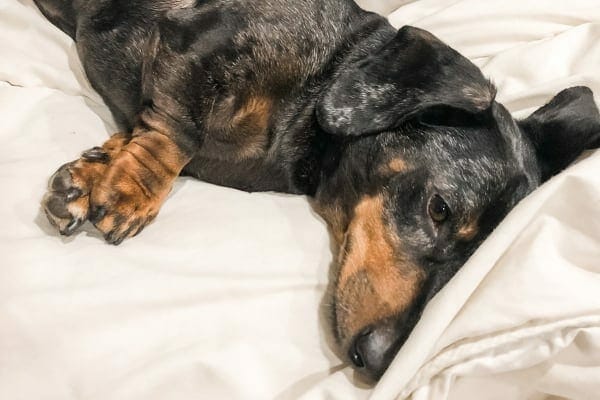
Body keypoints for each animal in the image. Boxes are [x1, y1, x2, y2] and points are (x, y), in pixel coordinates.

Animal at [36, 0, 600, 382]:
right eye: (439, 209)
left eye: (474, 263)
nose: (379, 363)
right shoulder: (199, 43)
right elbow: (179, 132)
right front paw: (132, 187)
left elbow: (145, 123)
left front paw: (96, 173)